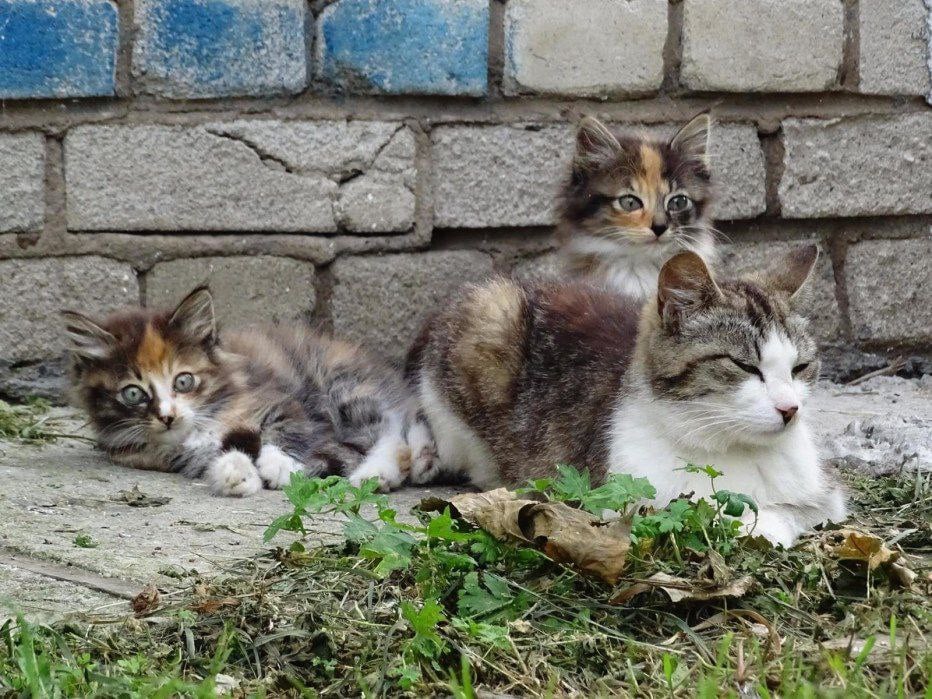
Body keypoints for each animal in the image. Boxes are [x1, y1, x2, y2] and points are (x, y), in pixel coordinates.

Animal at [65, 288, 436, 498]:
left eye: (183, 381)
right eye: (133, 394)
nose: (167, 417)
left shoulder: (285, 403)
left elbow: (287, 433)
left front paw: (279, 465)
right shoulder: (161, 454)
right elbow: (215, 454)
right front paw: (236, 473)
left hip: (342, 385)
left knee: (391, 426)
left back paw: (384, 471)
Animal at [412, 249, 848, 548]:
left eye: (801, 367)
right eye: (744, 366)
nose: (790, 409)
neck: (734, 451)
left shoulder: (828, 498)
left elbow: (804, 512)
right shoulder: (619, 500)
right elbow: (707, 513)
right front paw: (759, 526)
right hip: (489, 316)